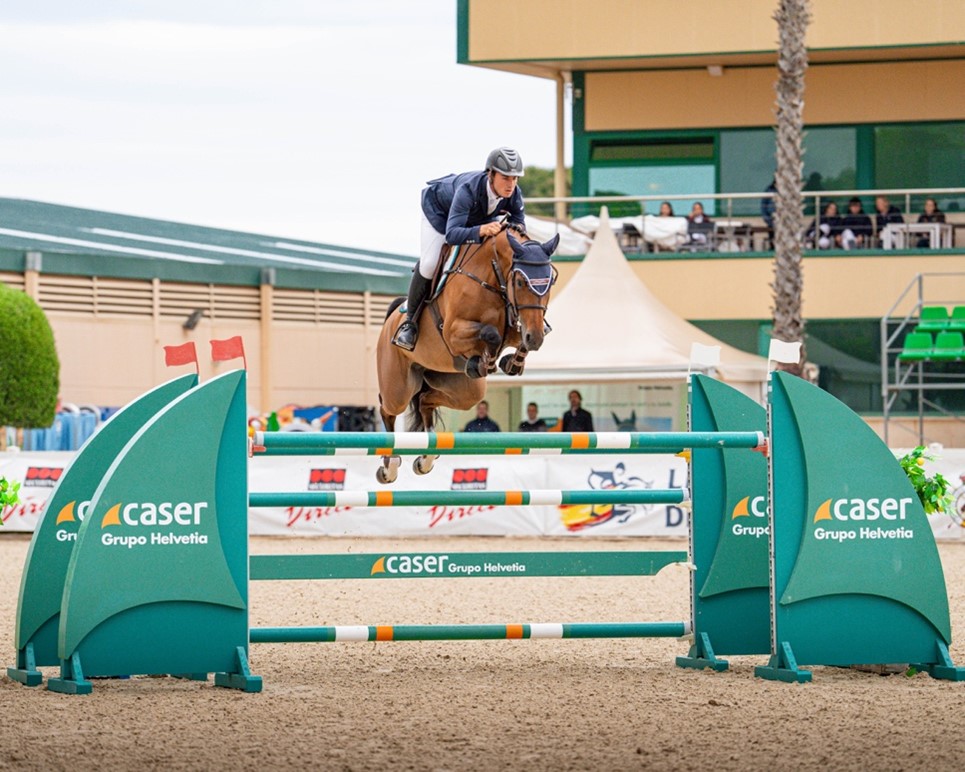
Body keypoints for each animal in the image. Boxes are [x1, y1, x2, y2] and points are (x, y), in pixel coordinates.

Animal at [374, 222, 556, 482]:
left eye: (550, 282)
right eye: (521, 282)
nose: (536, 338)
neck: (492, 278)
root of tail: (390, 320)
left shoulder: (519, 324)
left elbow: (513, 337)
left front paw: (511, 362)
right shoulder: (453, 331)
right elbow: (491, 333)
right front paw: (488, 361)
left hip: (462, 389)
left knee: (426, 401)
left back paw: (426, 459)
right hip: (398, 387)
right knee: (387, 408)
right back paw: (390, 466)